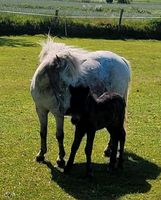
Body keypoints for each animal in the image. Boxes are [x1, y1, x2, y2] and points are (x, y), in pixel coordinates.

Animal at [30, 37, 131, 167]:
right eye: (63, 82)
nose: (67, 108)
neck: (45, 88)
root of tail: (121, 60)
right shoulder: (41, 110)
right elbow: (43, 132)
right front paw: (41, 155)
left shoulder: (58, 114)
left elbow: (59, 135)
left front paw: (61, 158)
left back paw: (108, 150)